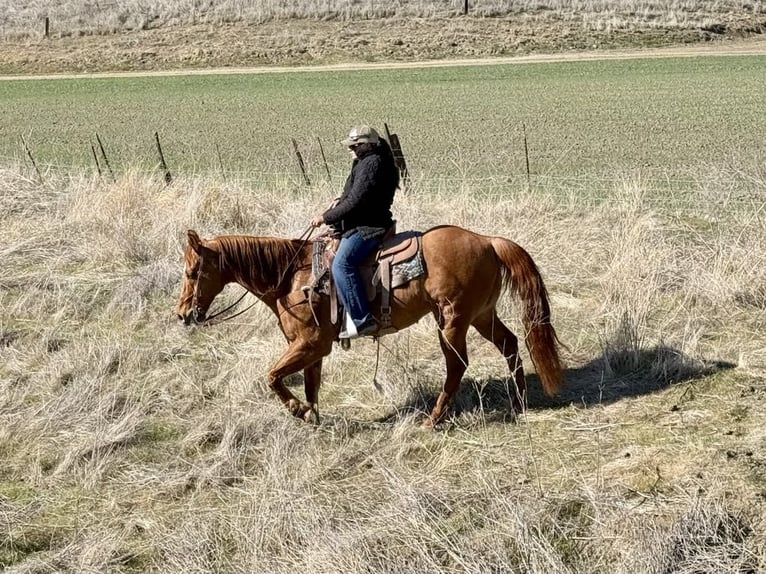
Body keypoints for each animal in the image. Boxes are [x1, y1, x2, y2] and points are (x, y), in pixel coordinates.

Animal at [175, 226, 564, 426]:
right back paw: (519, 402)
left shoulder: (311, 343)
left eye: (192, 272)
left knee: (457, 365)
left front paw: (298, 411)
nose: (182, 314)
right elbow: (311, 385)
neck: (290, 277)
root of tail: (487, 241)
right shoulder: (312, 349)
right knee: (511, 345)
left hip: (452, 321)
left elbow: (271, 377)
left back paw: (434, 418)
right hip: (482, 315)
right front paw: (312, 416)